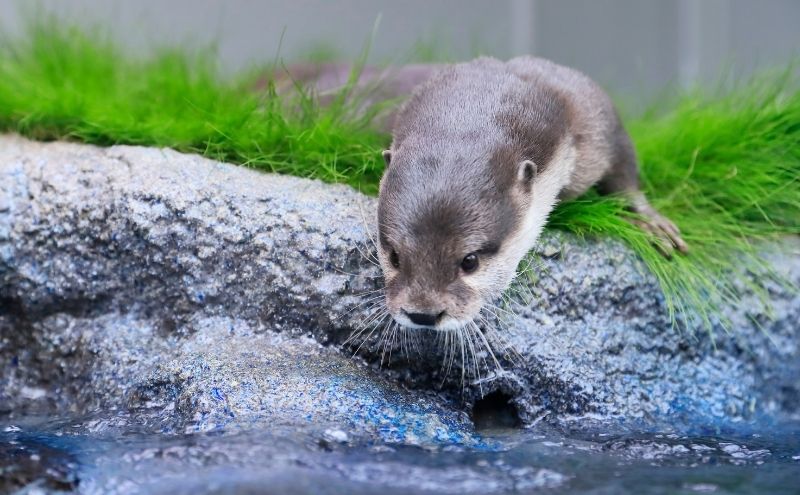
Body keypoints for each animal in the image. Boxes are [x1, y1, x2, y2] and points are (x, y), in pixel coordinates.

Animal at [378, 56, 684, 332]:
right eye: (394, 257)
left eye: (470, 261)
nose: (423, 314)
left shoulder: (596, 117)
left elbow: (624, 168)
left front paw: (650, 222)